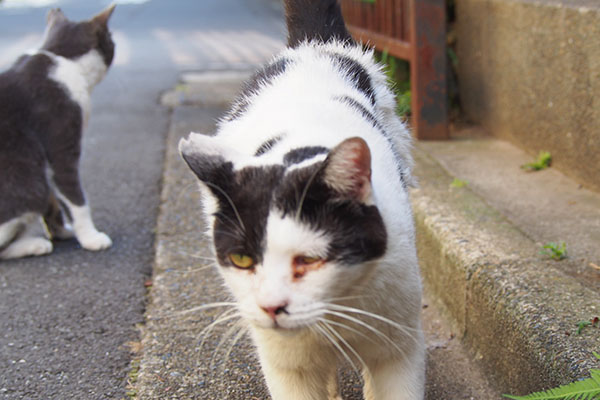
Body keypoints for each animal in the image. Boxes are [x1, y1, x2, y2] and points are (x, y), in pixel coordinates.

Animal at [0, 5, 116, 260]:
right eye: (111, 41)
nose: (114, 46)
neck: (62, 57)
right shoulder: (62, 148)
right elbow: (77, 200)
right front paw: (90, 238)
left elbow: (55, 202)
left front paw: (61, 232)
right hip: (30, 183)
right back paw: (34, 245)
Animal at [180, 1, 424, 398]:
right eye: (242, 259)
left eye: (310, 259)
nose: (271, 307)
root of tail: (314, 46)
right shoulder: (287, 366)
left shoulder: (398, 350)